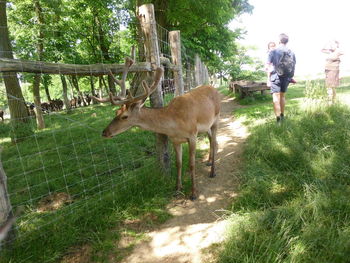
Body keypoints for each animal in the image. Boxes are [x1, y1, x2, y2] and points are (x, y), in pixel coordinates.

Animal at [93, 60, 221, 200]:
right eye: (116, 112)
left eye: (124, 116)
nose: (104, 132)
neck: (174, 122)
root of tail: (214, 88)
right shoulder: (175, 140)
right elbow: (178, 163)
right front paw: (177, 189)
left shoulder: (192, 135)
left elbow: (191, 165)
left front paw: (193, 193)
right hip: (206, 126)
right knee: (212, 140)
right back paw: (208, 162)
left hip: (216, 118)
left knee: (214, 141)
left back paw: (213, 172)